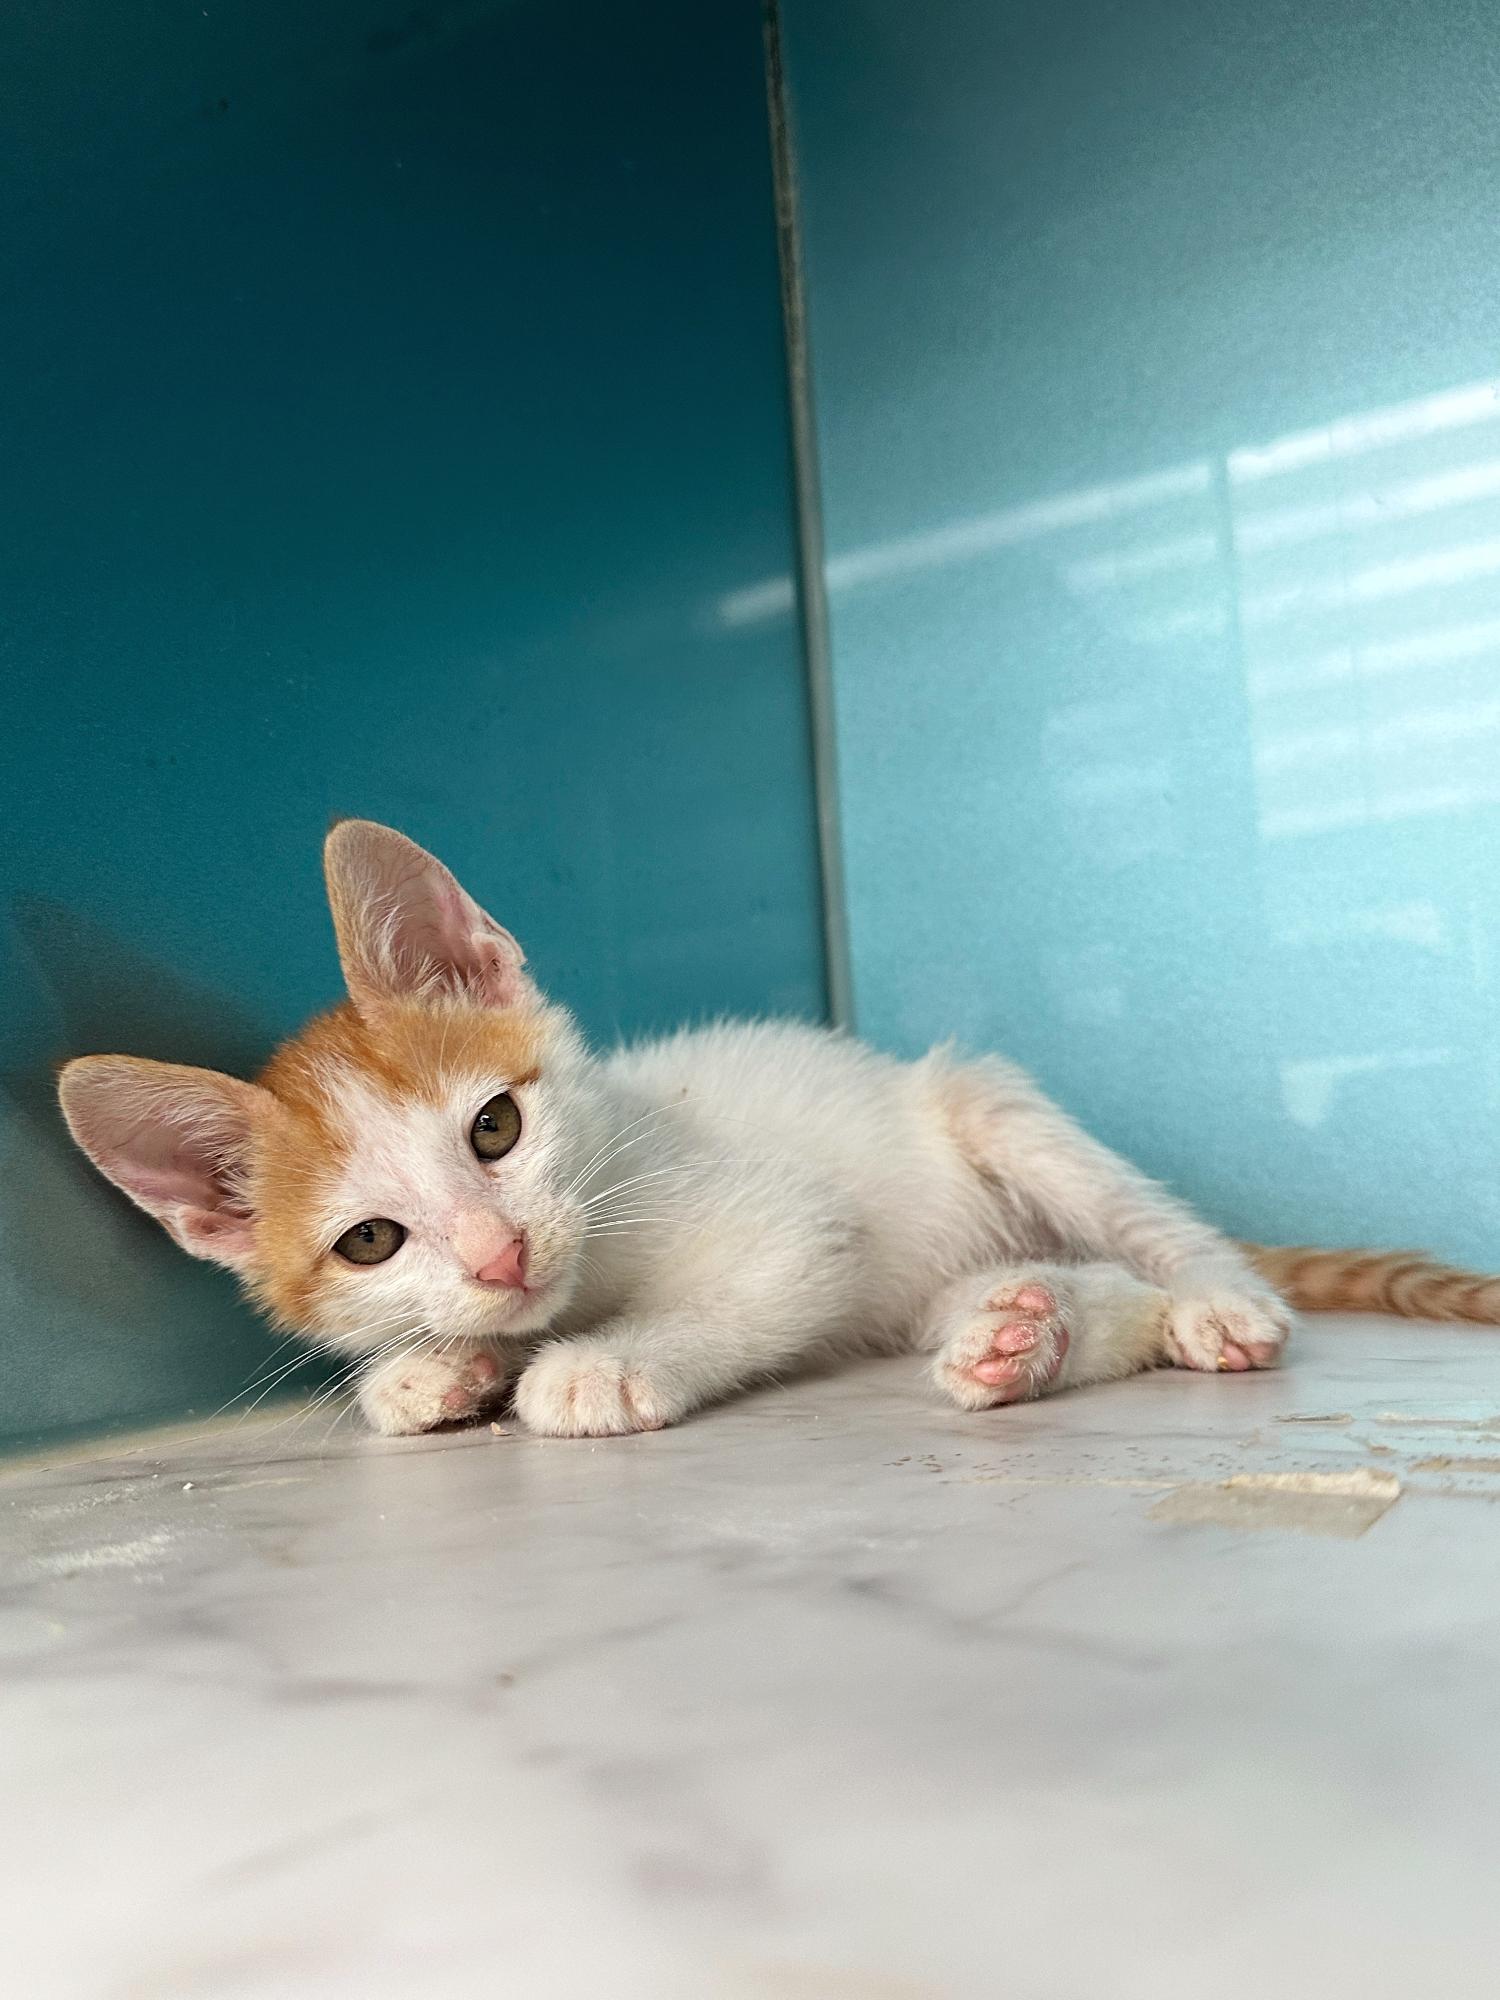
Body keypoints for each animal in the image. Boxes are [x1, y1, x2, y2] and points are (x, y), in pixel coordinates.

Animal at [55, 820, 1500, 1432]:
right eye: (369, 1241)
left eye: (495, 1128)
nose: (499, 1257)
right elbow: (421, 1368)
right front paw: (423, 1373)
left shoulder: (788, 1227)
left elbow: (755, 1282)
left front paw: (596, 1365)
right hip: (940, 1275)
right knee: (1053, 1298)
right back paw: (1027, 1336)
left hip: (987, 1101)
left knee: (1176, 1247)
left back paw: (1212, 1302)